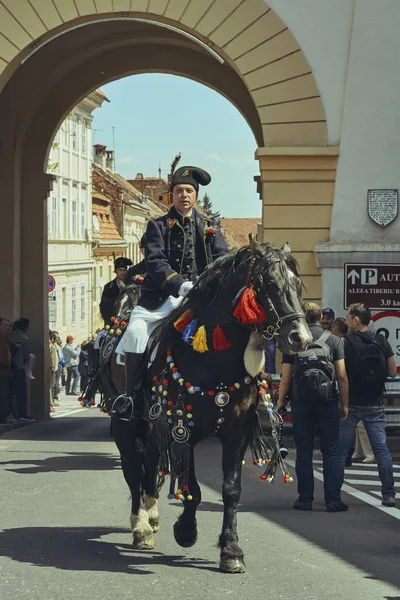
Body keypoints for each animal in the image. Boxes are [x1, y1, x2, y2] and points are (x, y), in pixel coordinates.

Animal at [104, 239, 310, 572]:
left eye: (297, 284)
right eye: (268, 283)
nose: (300, 338)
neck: (213, 357)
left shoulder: (236, 433)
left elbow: (231, 490)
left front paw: (231, 550)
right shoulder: (181, 429)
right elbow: (193, 490)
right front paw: (186, 531)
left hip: (151, 426)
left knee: (151, 464)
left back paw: (152, 513)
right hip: (126, 423)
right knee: (134, 469)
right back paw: (141, 526)